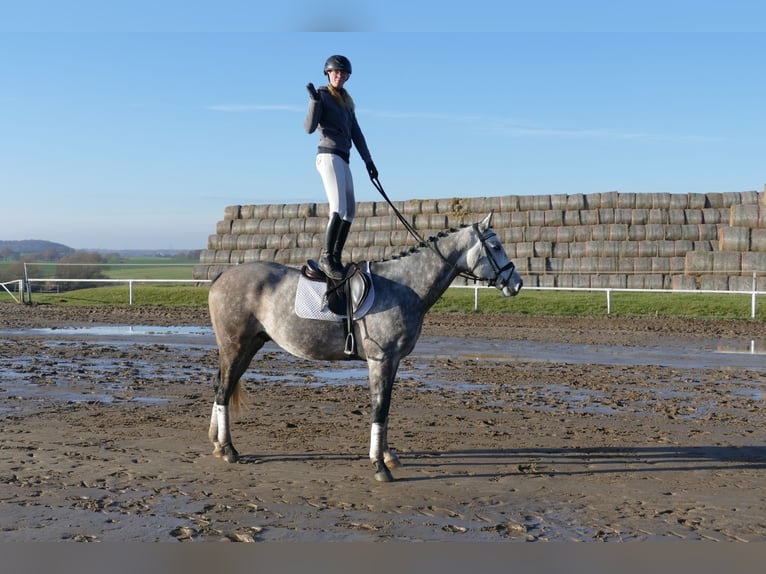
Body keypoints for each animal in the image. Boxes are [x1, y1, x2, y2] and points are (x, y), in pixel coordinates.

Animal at [207, 211, 523, 482]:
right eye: (495, 246)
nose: (517, 283)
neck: (403, 285)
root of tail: (222, 276)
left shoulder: (392, 362)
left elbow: (386, 407)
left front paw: (387, 455)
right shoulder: (381, 359)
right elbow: (379, 409)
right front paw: (379, 465)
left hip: (248, 346)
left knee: (222, 387)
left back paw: (218, 444)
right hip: (235, 347)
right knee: (223, 392)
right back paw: (229, 450)